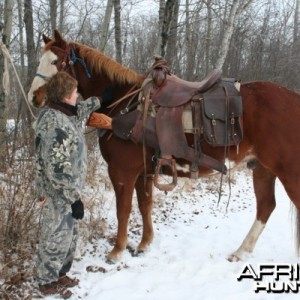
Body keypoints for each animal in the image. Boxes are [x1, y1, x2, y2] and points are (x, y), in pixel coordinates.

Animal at [28, 29, 300, 262]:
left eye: (56, 62)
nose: (34, 97)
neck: (123, 103)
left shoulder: (122, 172)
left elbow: (123, 210)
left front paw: (117, 251)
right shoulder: (144, 172)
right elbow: (144, 205)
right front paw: (144, 244)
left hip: (287, 172)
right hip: (262, 169)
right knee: (266, 206)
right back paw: (241, 251)